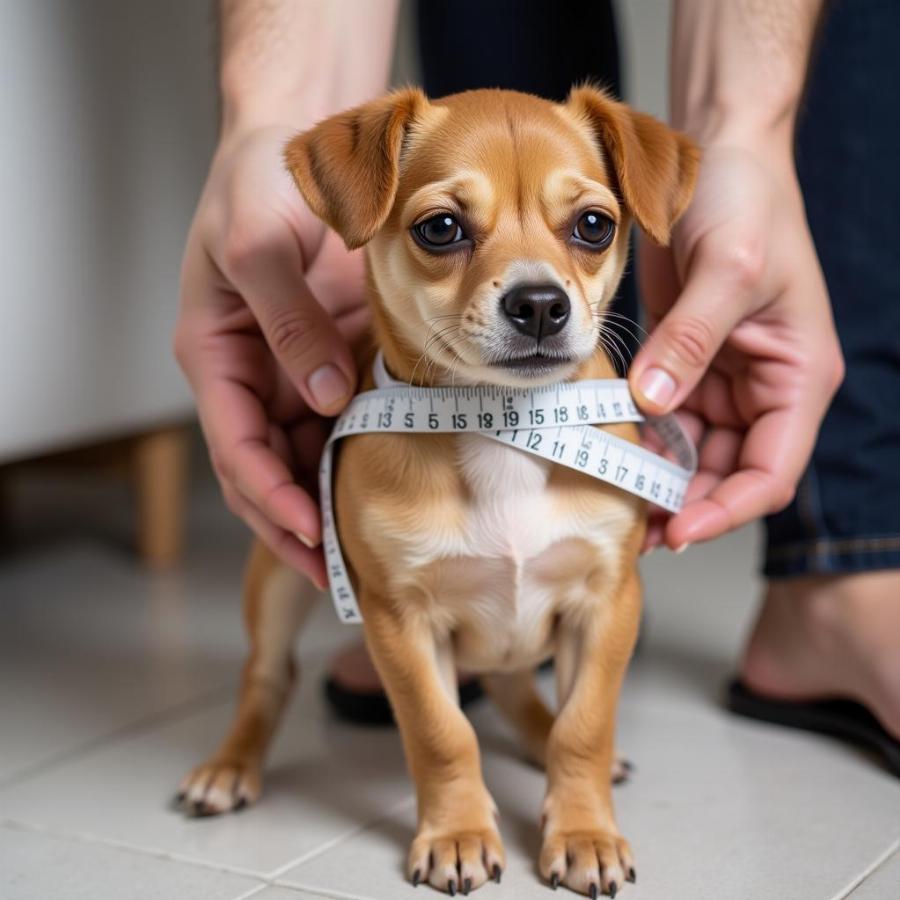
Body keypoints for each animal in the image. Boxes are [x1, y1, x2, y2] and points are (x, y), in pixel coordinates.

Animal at [174, 86, 696, 900]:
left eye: (594, 225)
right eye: (441, 228)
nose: (540, 303)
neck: (503, 428)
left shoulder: (608, 602)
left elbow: (584, 724)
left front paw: (583, 831)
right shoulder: (399, 619)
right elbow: (441, 732)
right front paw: (457, 834)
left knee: (518, 691)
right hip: (280, 574)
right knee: (267, 674)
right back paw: (229, 767)